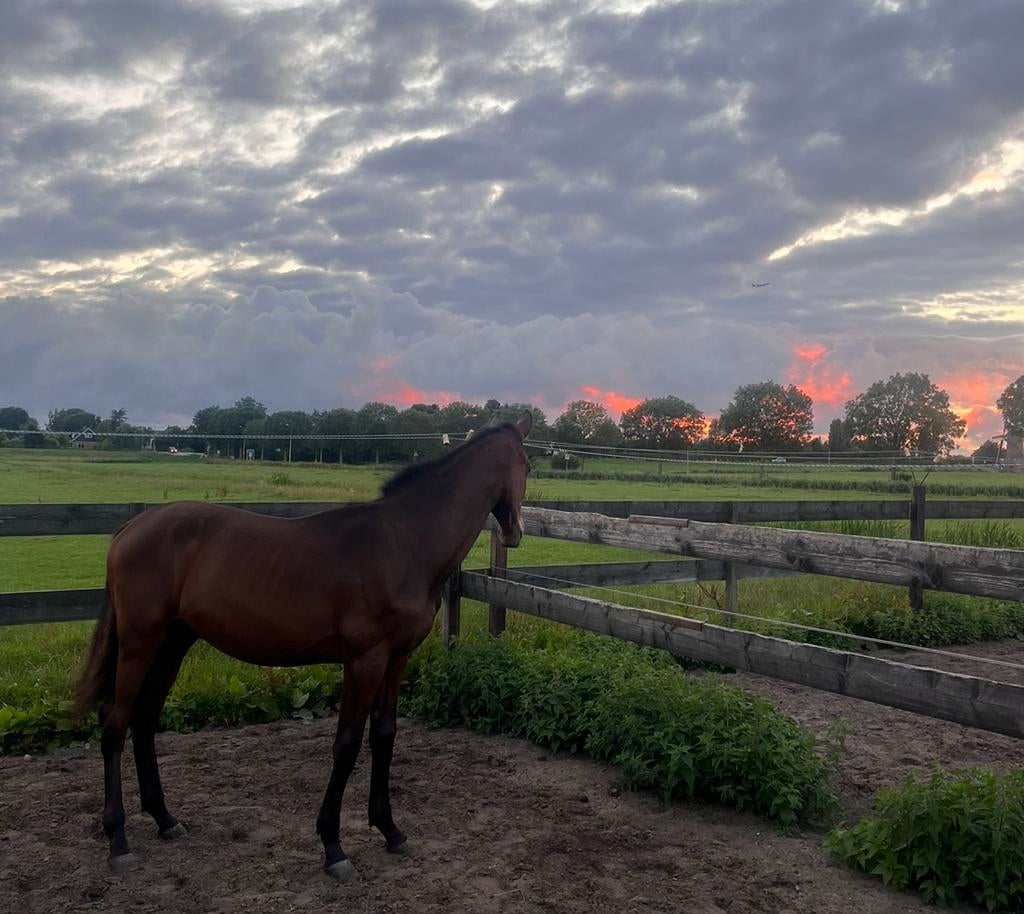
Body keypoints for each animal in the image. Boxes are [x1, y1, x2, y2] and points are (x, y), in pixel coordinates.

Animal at [75, 411, 533, 880]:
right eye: (528, 465)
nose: (515, 532)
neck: (403, 543)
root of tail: (131, 528)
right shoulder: (364, 660)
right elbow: (346, 744)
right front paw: (334, 848)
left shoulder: (397, 658)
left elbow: (384, 735)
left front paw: (390, 830)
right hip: (139, 643)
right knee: (115, 722)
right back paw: (118, 840)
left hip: (173, 642)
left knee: (144, 718)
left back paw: (165, 819)